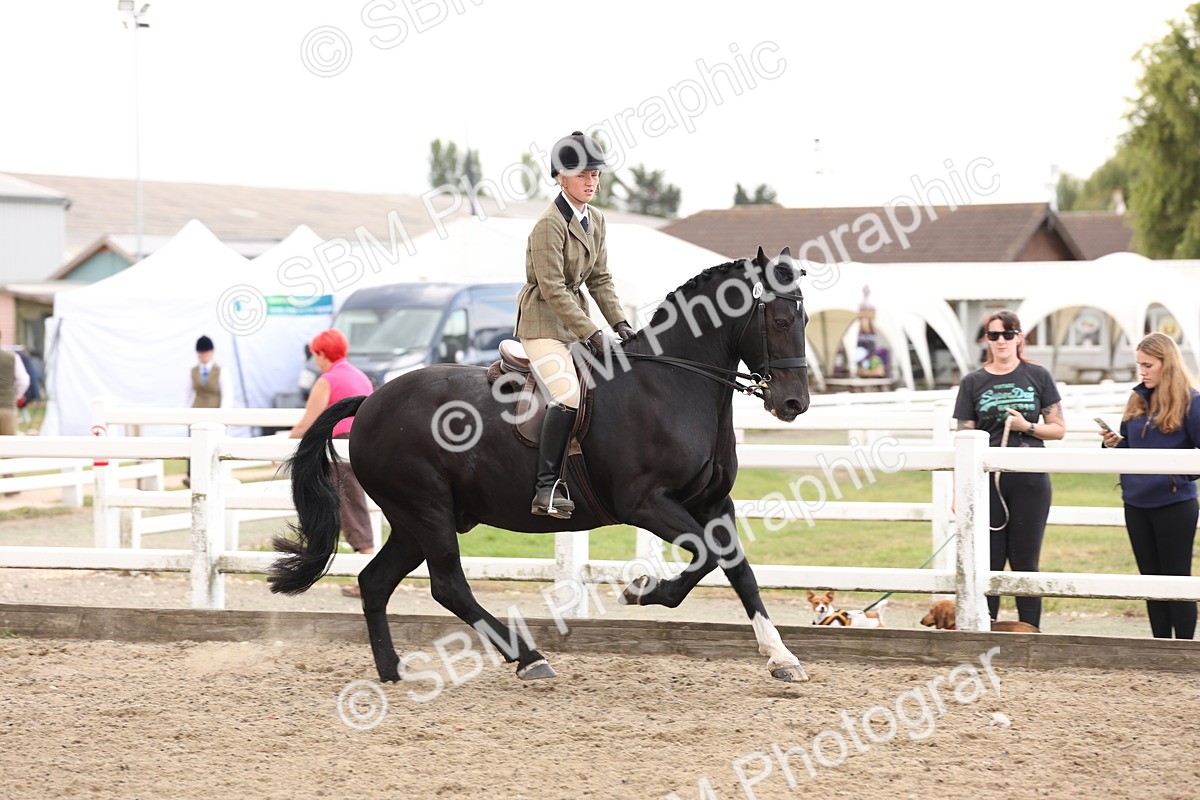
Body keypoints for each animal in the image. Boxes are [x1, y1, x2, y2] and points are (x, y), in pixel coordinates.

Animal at [268, 246, 813, 684]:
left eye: (805, 321)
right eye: (780, 321)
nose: (794, 404)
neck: (672, 384)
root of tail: (370, 404)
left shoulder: (714, 502)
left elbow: (736, 565)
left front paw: (780, 657)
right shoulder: (646, 503)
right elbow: (707, 554)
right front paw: (643, 593)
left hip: (411, 522)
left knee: (376, 582)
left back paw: (392, 670)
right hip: (427, 511)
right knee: (448, 586)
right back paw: (528, 658)